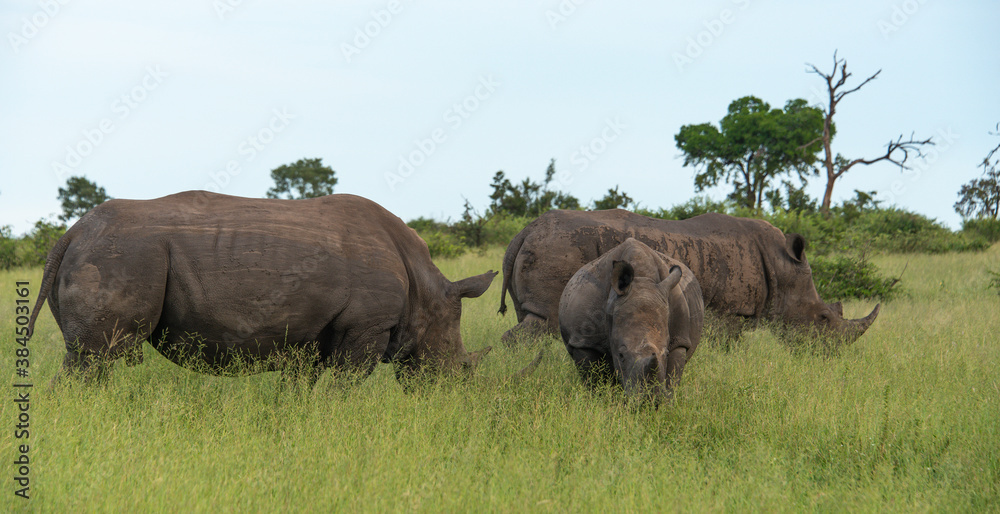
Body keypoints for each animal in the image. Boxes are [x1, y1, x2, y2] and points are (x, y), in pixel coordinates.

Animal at [27, 191, 498, 384]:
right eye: (462, 368)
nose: (449, 396)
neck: (427, 291)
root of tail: (71, 233)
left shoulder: (312, 336)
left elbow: (301, 389)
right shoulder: (367, 326)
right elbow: (345, 387)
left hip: (109, 253)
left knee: (91, 362)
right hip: (119, 255)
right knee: (93, 359)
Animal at [500, 209, 879, 344]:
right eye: (823, 317)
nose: (834, 353)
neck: (783, 266)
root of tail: (525, 231)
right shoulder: (731, 311)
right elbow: (728, 346)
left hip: (547, 247)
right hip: (559, 248)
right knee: (544, 322)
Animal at [559, 238, 703, 402]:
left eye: (666, 353)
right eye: (621, 355)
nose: (649, 400)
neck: (642, 279)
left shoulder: (680, 340)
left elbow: (672, 379)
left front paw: (667, 403)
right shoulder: (584, 341)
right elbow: (594, 381)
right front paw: (601, 401)